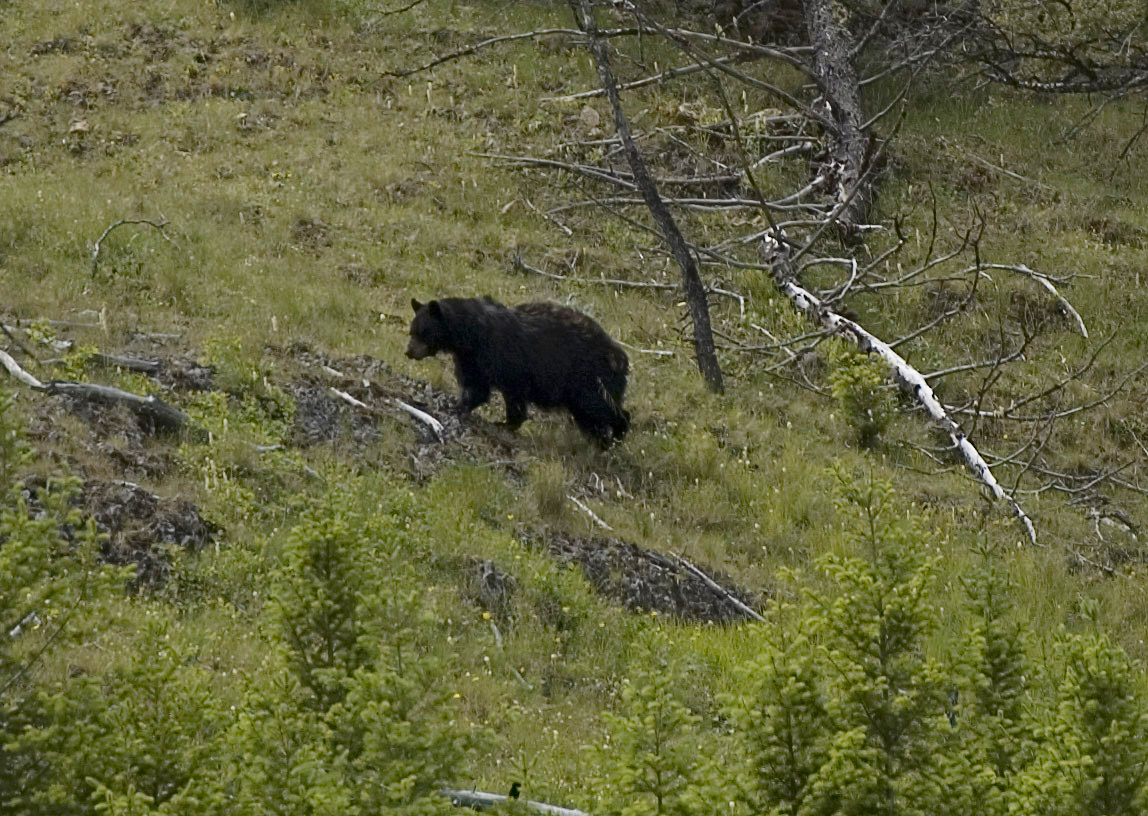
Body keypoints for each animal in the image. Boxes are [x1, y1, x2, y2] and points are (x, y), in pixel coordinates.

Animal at [408, 296, 633, 443]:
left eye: (422, 331)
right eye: (412, 330)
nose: (408, 351)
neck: (470, 335)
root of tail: (621, 358)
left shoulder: (504, 358)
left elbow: (510, 392)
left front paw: (505, 422)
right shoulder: (470, 359)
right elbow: (475, 385)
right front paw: (459, 403)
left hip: (588, 380)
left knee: (601, 407)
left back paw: (617, 433)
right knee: (590, 416)